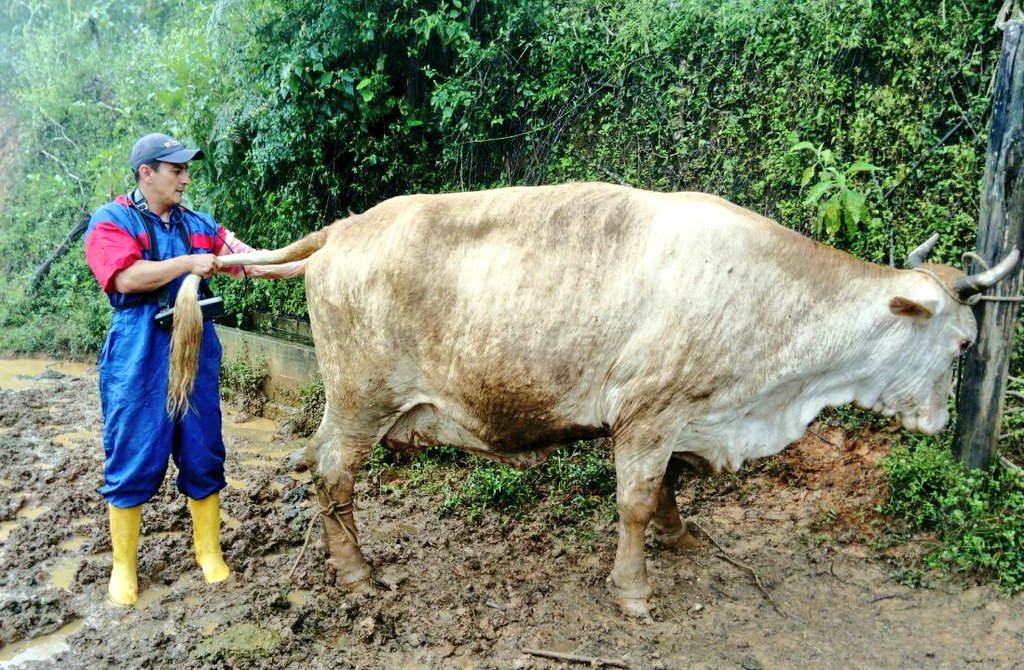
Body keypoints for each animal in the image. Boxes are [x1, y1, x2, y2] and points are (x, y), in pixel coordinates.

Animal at [202, 182, 1018, 619]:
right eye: (963, 344)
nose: (941, 420)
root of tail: (346, 228)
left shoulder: (685, 412)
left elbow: (672, 485)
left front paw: (682, 536)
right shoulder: (648, 412)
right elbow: (633, 501)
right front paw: (633, 591)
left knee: (316, 465)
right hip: (360, 401)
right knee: (332, 476)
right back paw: (355, 570)